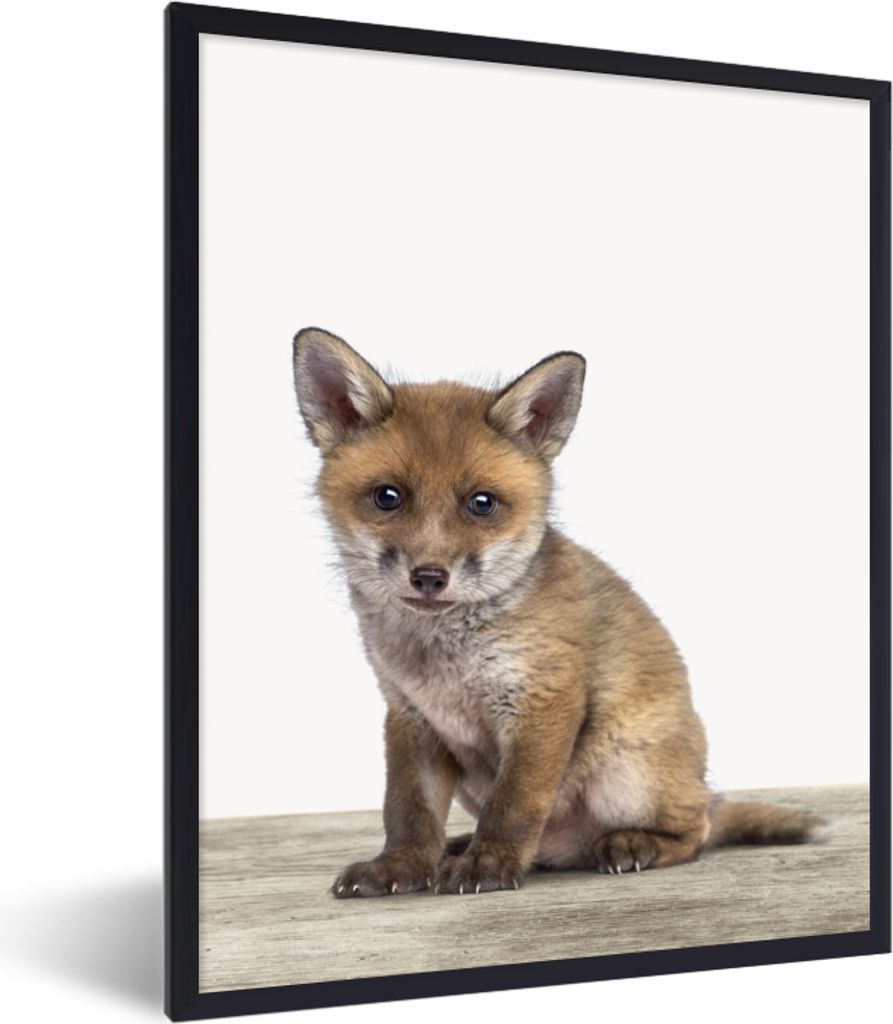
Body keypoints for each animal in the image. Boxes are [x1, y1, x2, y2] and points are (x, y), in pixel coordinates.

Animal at [292, 326, 825, 898]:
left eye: (482, 504)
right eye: (387, 497)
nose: (430, 577)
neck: (443, 660)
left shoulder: (544, 701)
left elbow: (515, 803)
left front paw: (489, 863)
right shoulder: (410, 717)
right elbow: (407, 810)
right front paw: (400, 866)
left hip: (627, 775)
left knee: (696, 832)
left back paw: (631, 844)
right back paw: (461, 847)